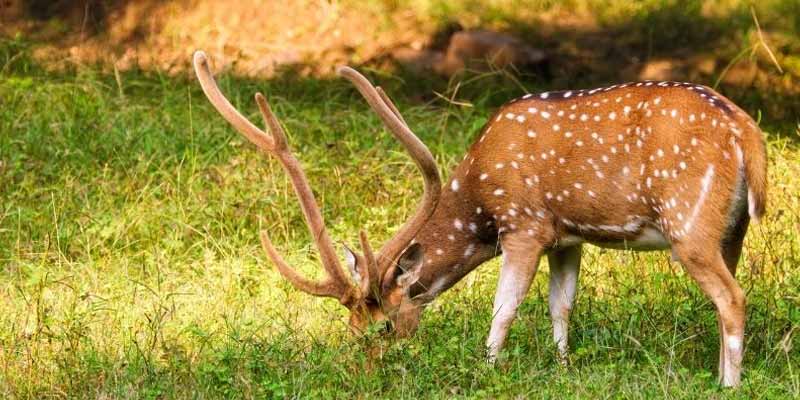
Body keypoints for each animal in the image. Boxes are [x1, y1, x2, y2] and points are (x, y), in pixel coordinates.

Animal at [194, 51, 768, 386]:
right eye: (350, 329)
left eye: (381, 327)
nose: (366, 373)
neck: (478, 206)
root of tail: (747, 134)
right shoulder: (567, 238)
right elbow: (561, 307)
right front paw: (563, 369)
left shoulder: (524, 225)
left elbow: (503, 310)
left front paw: (487, 370)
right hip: (731, 229)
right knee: (727, 297)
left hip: (689, 225)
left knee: (732, 298)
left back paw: (728, 385)